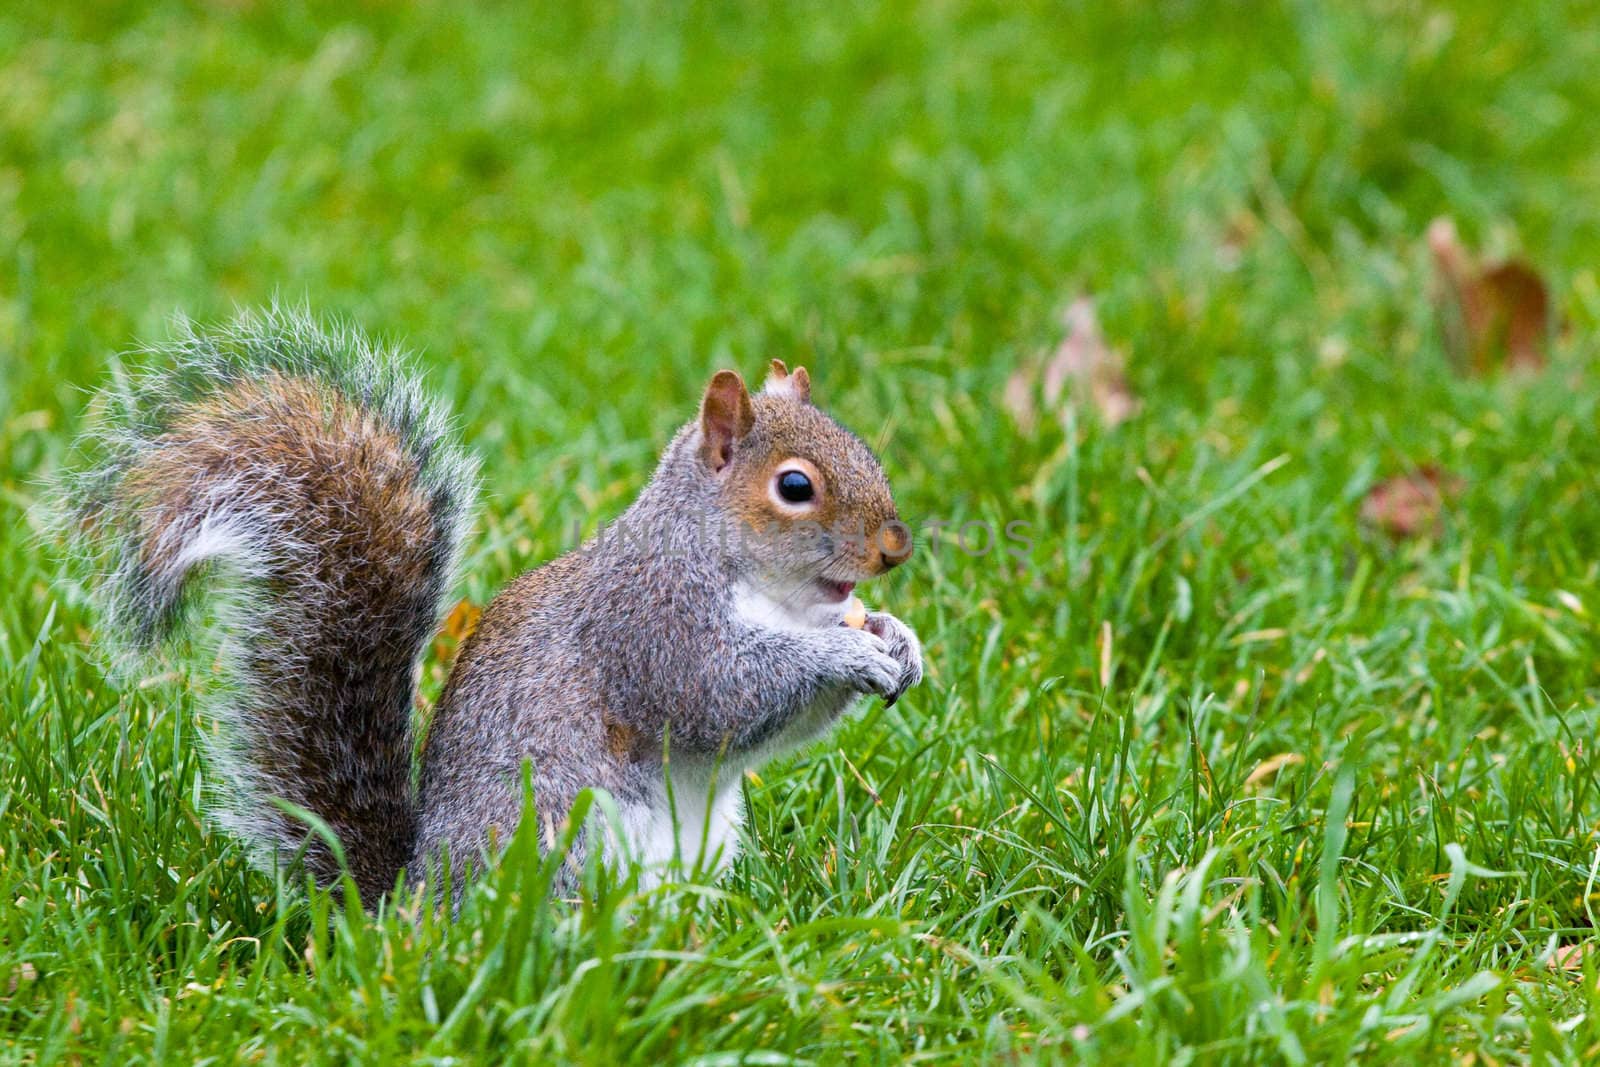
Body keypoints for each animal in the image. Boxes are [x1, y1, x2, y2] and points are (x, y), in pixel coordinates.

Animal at [65, 307, 928, 902]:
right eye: (795, 486)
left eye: (862, 446)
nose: (896, 545)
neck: (772, 594)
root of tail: (408, 907)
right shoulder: (653, 623)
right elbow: (720, 698)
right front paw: (847, 652)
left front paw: (898, 638)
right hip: (562, 836)